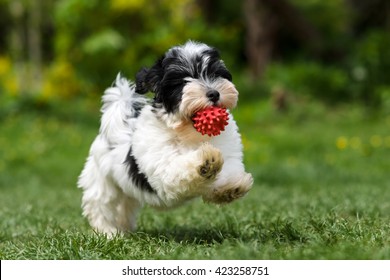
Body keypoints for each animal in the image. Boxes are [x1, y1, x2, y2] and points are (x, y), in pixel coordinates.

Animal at [78, 41, 254, 234]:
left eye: (216, 74)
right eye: (183, 81)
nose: (214, 93)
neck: (188, 132)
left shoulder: (228, 148)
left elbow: (228, 169)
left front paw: (229, 188)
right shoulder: (162, 163)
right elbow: (177, 167)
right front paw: (205, 163)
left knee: (125, 204)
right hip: (102, 177)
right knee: (101, 203)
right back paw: (108, 232)